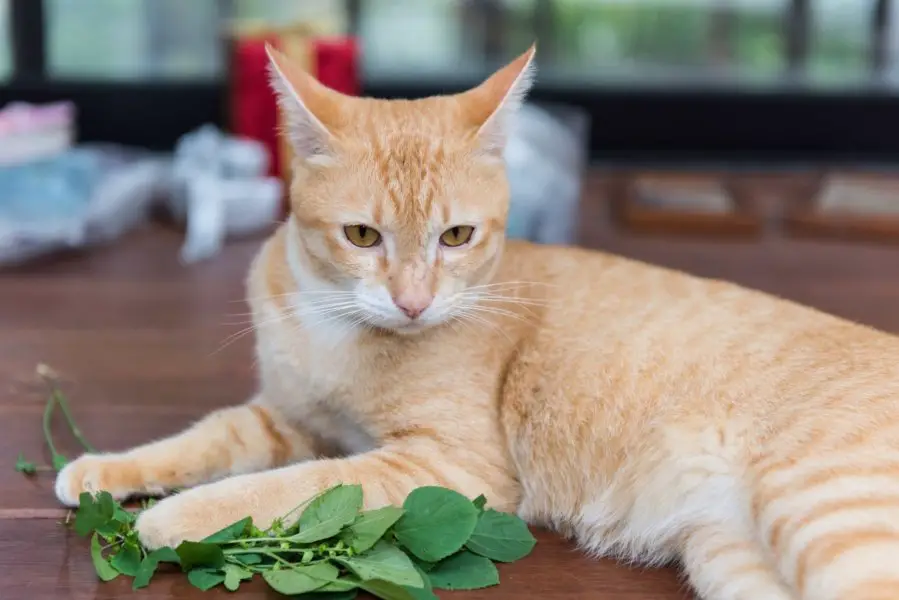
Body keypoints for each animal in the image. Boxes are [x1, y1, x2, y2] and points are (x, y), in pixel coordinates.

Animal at [54, 44, 899, 596]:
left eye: (456, 237)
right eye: (362, 236)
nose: (413, 301)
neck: (333, 330)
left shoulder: (439, 465)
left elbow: (281, 487)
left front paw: (169, 520)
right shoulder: (287, 418)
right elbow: (206, 438)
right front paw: (105, 471)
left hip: (827, 524)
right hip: (737, 564)